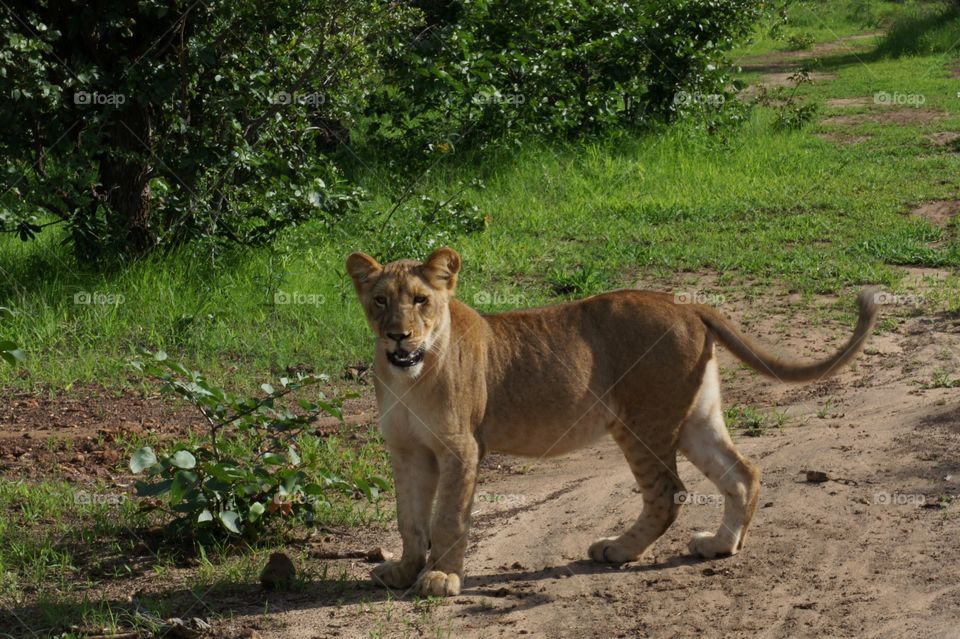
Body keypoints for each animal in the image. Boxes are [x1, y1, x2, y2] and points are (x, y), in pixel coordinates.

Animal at [344, 248, 876, 596]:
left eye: (420, 300)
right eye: (380, 301)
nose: (398, 336)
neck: (409, 375)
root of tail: (686, 303)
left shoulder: (461, 447)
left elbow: (448, 516)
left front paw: (441, 577)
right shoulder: (407, 451)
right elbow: (410, 518)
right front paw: (403, 571)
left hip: (641, 421)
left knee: (669, 492)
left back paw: (619, 550)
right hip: (694, 417)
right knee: (742, 472)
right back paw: (721, 545)